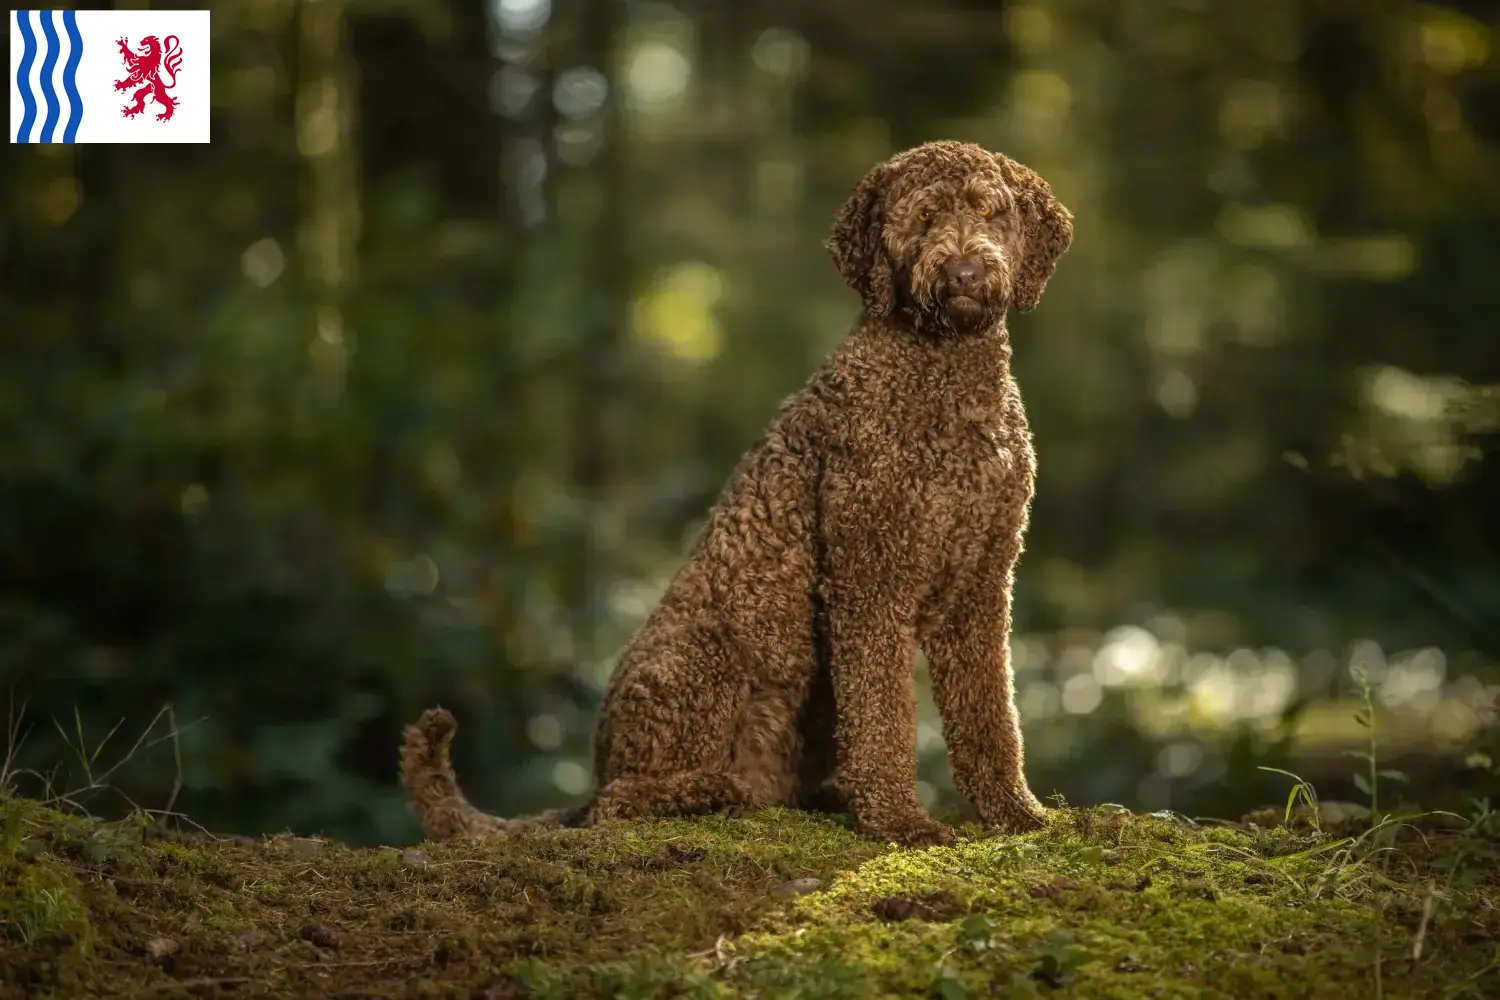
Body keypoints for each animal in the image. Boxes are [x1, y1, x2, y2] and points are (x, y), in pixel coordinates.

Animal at [405, 138, 1074, 845]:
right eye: (922, 217)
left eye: (989, 211)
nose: (967, 271)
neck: (945, 375)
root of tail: (591, 777)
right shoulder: (869, 582)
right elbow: (884, 719)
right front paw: (900, 820)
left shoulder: (981, 584)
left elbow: (991, 715)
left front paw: (1016, 813)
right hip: (706, 664)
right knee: (621, 802)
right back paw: (718, 790)